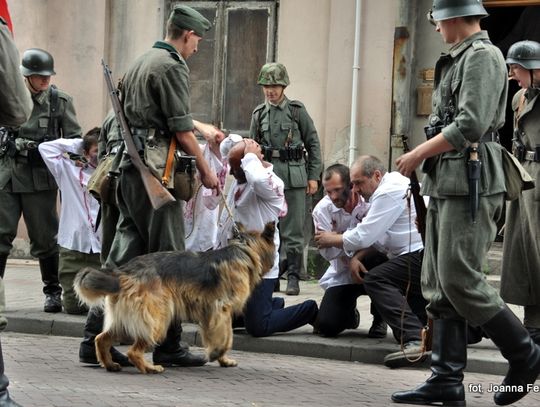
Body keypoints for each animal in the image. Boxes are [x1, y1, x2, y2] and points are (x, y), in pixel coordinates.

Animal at [74, 222, 276, 374]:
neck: (244, 249)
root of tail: (123, 272)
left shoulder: (214, 315)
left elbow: (223, 336)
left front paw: (223, 360)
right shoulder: (220, 311)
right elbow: (227, 338)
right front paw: (217, 354)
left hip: (125, 321)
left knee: (101, 339)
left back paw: (109, 364)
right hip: (158, 318)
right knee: (133, 351)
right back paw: (150, 368)